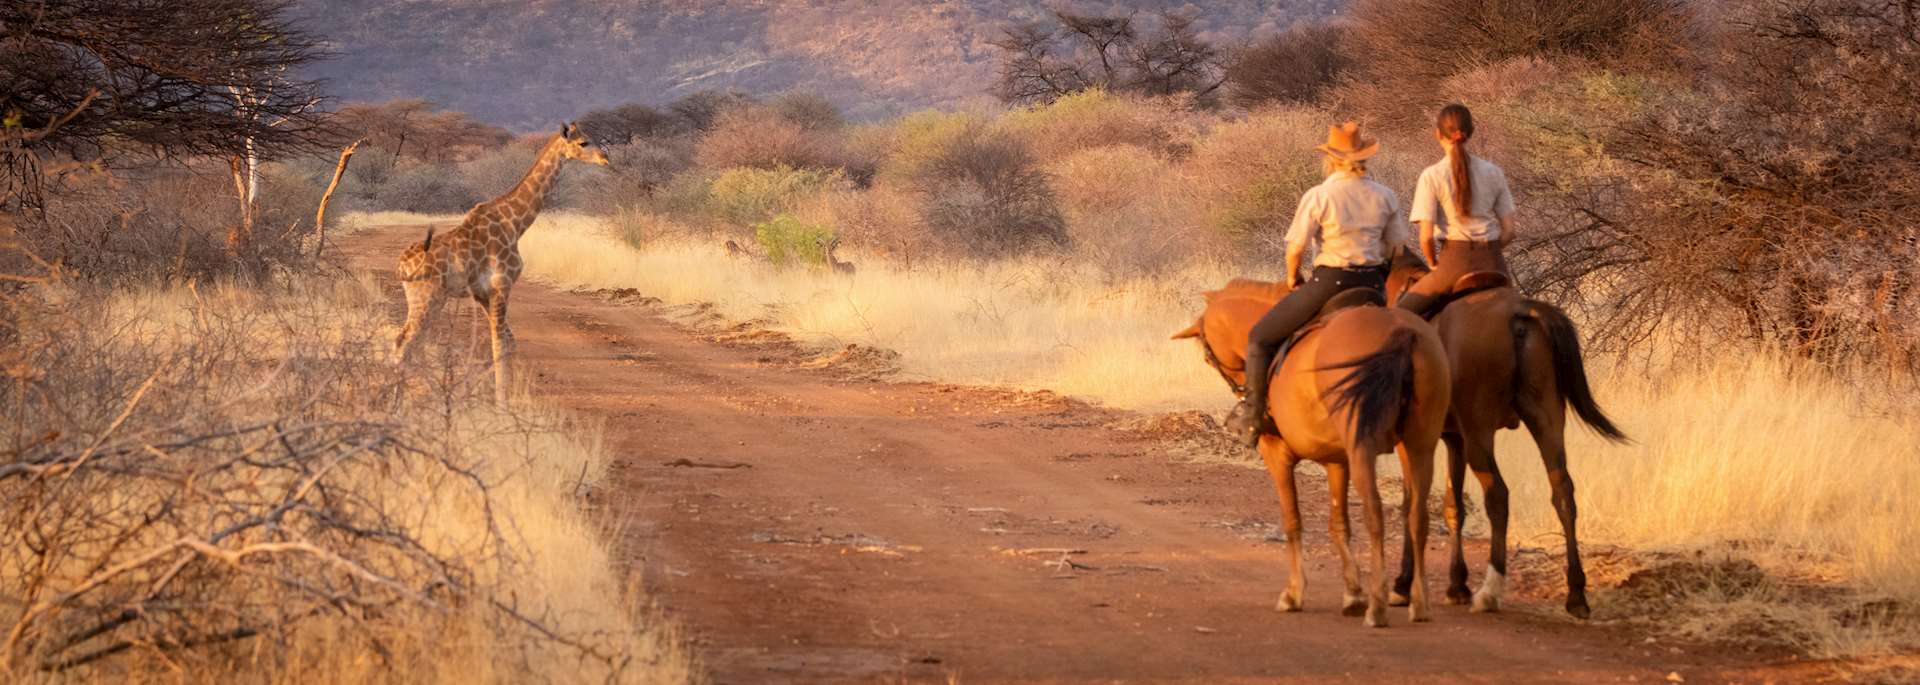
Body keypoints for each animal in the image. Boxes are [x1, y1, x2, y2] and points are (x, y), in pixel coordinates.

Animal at [1174, 287, 1452, 627]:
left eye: (1206, 356)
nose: (1241, 390)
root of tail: (1401, 331)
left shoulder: (1278, 456)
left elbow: (1292, 521)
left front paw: (1294, 594)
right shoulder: (1337, 462)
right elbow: (1338, 524)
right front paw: (1352, 593)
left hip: (1365, 449)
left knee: (1375, 515)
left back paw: (1377, 607)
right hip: (1420, 447)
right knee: (1417, 517)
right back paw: (1419, 603)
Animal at [1380, 251, 1627, 618]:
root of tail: (1520, 314)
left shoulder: (1414, 443)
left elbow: (1413, 503)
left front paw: (1402, 585)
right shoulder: (1455, 440)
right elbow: (1453, 506)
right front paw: (1457, 585)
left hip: (1481, 433)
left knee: (1498, 494)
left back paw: (1490, 592)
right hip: (1545, 421)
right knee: (1563, 492)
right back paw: (1576, 595)